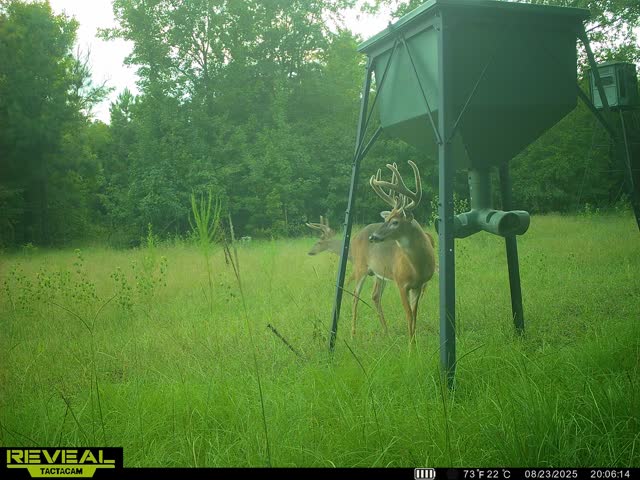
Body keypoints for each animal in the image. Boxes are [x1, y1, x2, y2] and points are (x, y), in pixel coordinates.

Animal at [349, 160, 436, 341]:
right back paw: (353, 334)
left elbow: (414, 316)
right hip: (360, 266)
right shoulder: (401, 282)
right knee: (355, 295)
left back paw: (386, 332)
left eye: (395, 221)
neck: (417, 267)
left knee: (375, 296)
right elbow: (408, 315)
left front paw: (414, 342)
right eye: (387, 219)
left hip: (379, 273)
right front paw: (411, 346)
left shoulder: (419, 285)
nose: (373, 237)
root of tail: (356, 236)